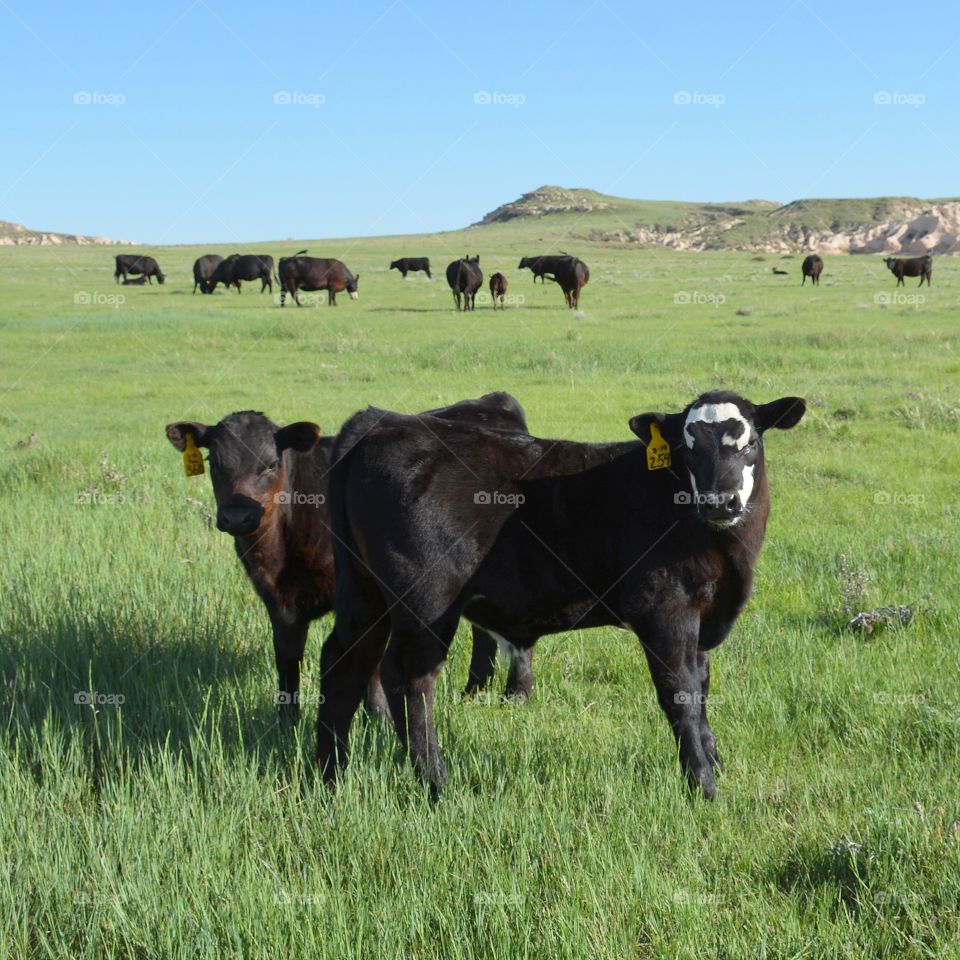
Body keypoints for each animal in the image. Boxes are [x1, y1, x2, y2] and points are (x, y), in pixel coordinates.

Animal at [165, 393, 533, 720]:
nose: (238, 517)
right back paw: (474, 691)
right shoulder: (278, 604)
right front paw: (286, 724)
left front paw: (378, 717)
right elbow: (287, 662)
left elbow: (372, 666)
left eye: (270, 464)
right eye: (213, 462)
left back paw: (514, 696)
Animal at [317, 390, 806, 799]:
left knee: (343, 663)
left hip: (363, 595)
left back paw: (327, 776)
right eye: (687, 449)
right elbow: (681, 693)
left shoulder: (703, 616)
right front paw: (702, 785)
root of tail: (384, 422)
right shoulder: (665, 611)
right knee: (410, 682)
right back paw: (437, 783)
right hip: (426, 606)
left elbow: (702, 688)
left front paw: (714, 762)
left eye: (750, 443)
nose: (720, 501)